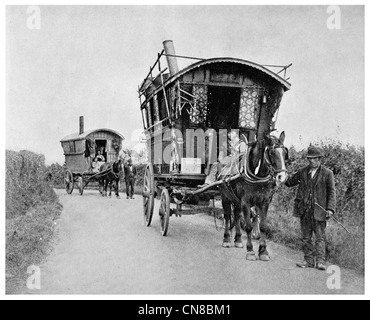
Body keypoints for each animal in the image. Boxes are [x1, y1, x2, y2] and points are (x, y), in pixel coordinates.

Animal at [220, 131, 290, 262]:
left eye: (285, 153)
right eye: (272, 153)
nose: (282, 177)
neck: (258, 177)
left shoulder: (264, 203)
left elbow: (263, 226)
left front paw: (263, 251)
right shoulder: (246, 202)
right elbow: (248, 226)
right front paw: (250, 251)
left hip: (237, 201)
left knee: (236, 216)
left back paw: (238, 239)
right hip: (225, 197)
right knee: (227, 217)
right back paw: (226, 239)